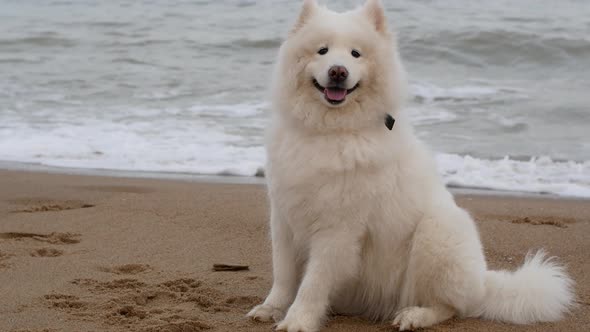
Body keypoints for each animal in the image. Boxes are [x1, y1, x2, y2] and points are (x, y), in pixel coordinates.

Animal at [247, 1, 576, 330]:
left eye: (355, 54)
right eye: (323, 50)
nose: (338, 71)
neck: (329, 132)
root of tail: (484, 283)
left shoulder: (338, 229)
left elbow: (313, 282)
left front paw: (297, 320)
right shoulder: (284, 218)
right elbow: (283, 274)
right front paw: (271, 308)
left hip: (435, 232)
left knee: (449, 306)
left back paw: (414, 315)